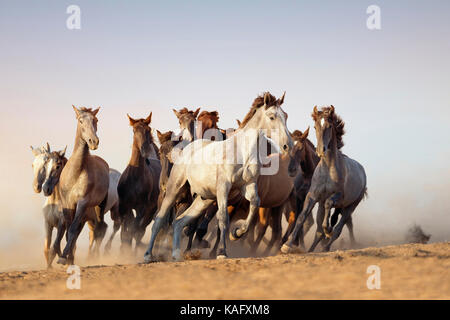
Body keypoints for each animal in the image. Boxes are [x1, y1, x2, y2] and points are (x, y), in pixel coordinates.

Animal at [56, 106, 110, 264]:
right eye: (80, 120)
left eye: (95, 119)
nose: (94, 141)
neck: (76, 173)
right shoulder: (68, 204)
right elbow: (69, 231)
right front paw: (69, 259)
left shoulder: (82, 202)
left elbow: (73, 229)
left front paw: (63, 257)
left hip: (100, 205)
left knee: (99, 228)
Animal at [118, 114, 161, 251]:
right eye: (134, 130)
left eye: (148, 130)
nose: (144, 150)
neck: (135, 178)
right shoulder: (124, 206)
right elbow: (124, 233)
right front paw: (123, 250)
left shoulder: (141, 208)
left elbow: (133, 231)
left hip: (150, 211)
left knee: (140, 231)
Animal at [142, 91, 294, 262]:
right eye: (272, 117)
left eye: (285, 116)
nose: (287, 146)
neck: (242, 152)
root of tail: (186, 148)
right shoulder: (223, 188)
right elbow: (222, 218)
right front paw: (222, 252)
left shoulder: (248, 185)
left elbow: (255, 204)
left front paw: (237, 233)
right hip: (174, 189)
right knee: (160, 220)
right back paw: (148, 256)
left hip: (203, 199)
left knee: (179, 222)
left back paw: (176, 254)